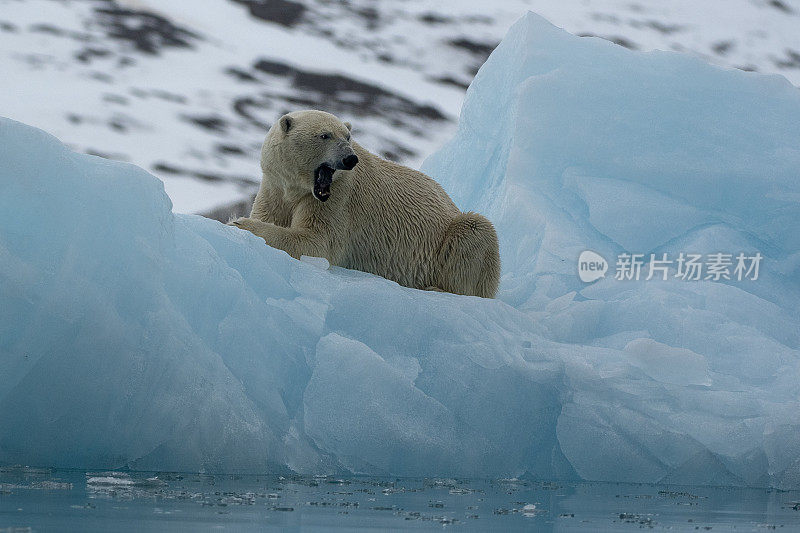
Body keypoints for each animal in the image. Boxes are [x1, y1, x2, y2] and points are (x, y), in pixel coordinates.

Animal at [228, 109, 500, 298]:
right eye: (324, 135)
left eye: (348, 136)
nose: (350, 158)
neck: (299, 188)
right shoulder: (275, 187)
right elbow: (272, 215)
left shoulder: (339, 197)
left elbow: (317, 242)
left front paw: (240, 223)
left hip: (453, 237)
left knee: (475, 230)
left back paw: (438, 288)